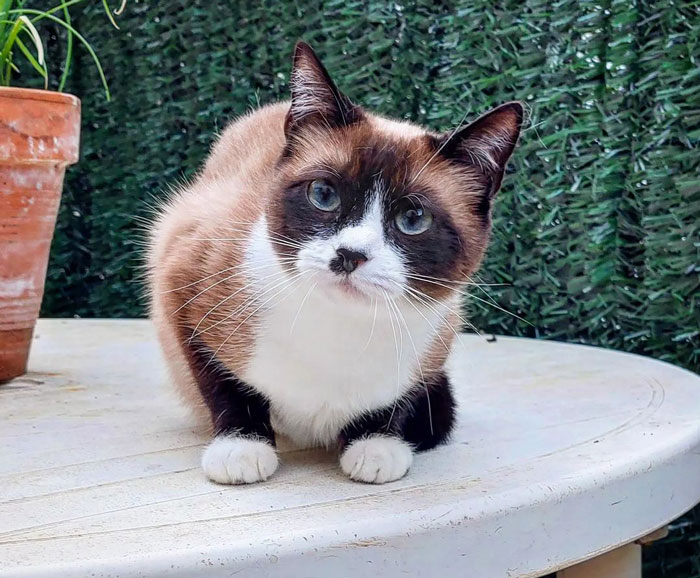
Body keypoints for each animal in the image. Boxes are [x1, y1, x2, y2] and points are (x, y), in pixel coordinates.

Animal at [146, 41, 520, 482]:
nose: (350, 255)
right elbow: (225, 385)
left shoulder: (435, 344)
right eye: (323, 195)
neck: (340, 329)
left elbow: (395, 401)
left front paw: (375, 445)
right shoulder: (181, 281)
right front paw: (242, 447)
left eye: (413, 219)